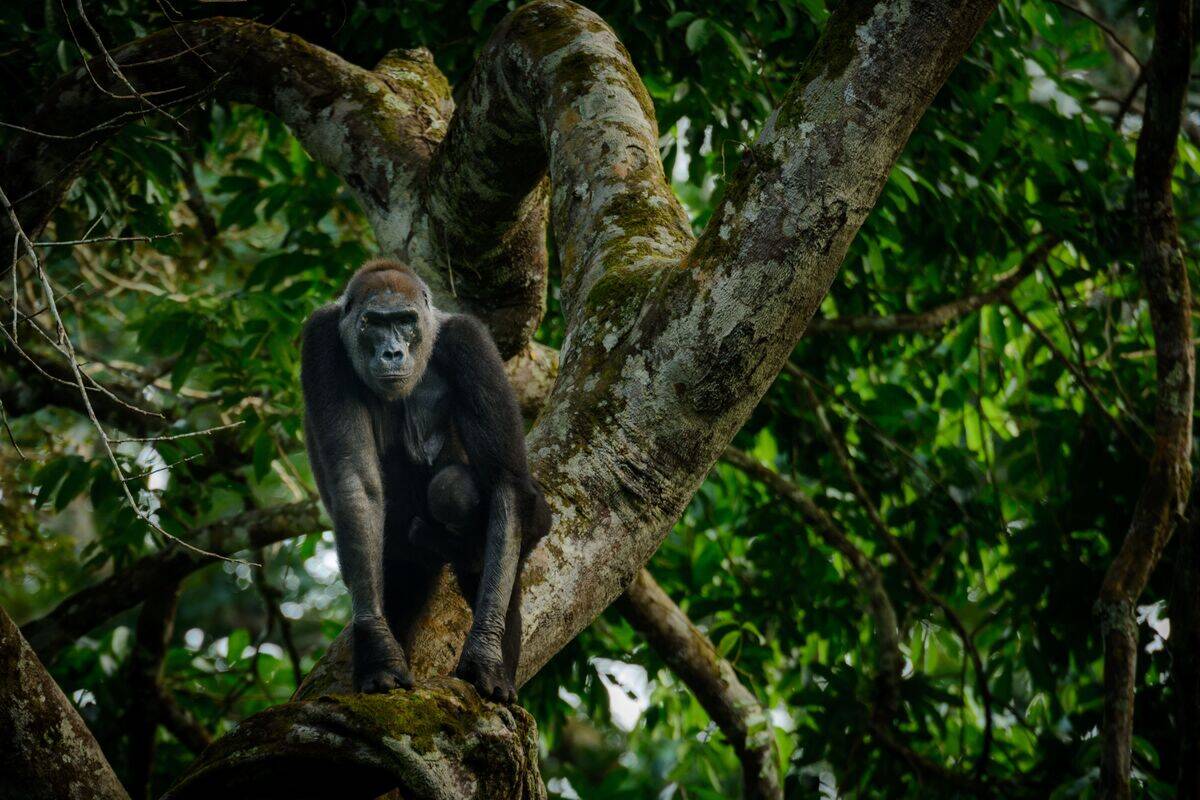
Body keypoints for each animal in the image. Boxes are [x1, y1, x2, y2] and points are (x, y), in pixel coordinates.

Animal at [300, 259, 551, 702]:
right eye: (373, 323)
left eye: (405, 320)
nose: (392, 352)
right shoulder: (320, 342)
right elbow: (357, 485)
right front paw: (378, 649)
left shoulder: (470, 342)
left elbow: (504, 480)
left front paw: (486, 654)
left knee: (462, 498)